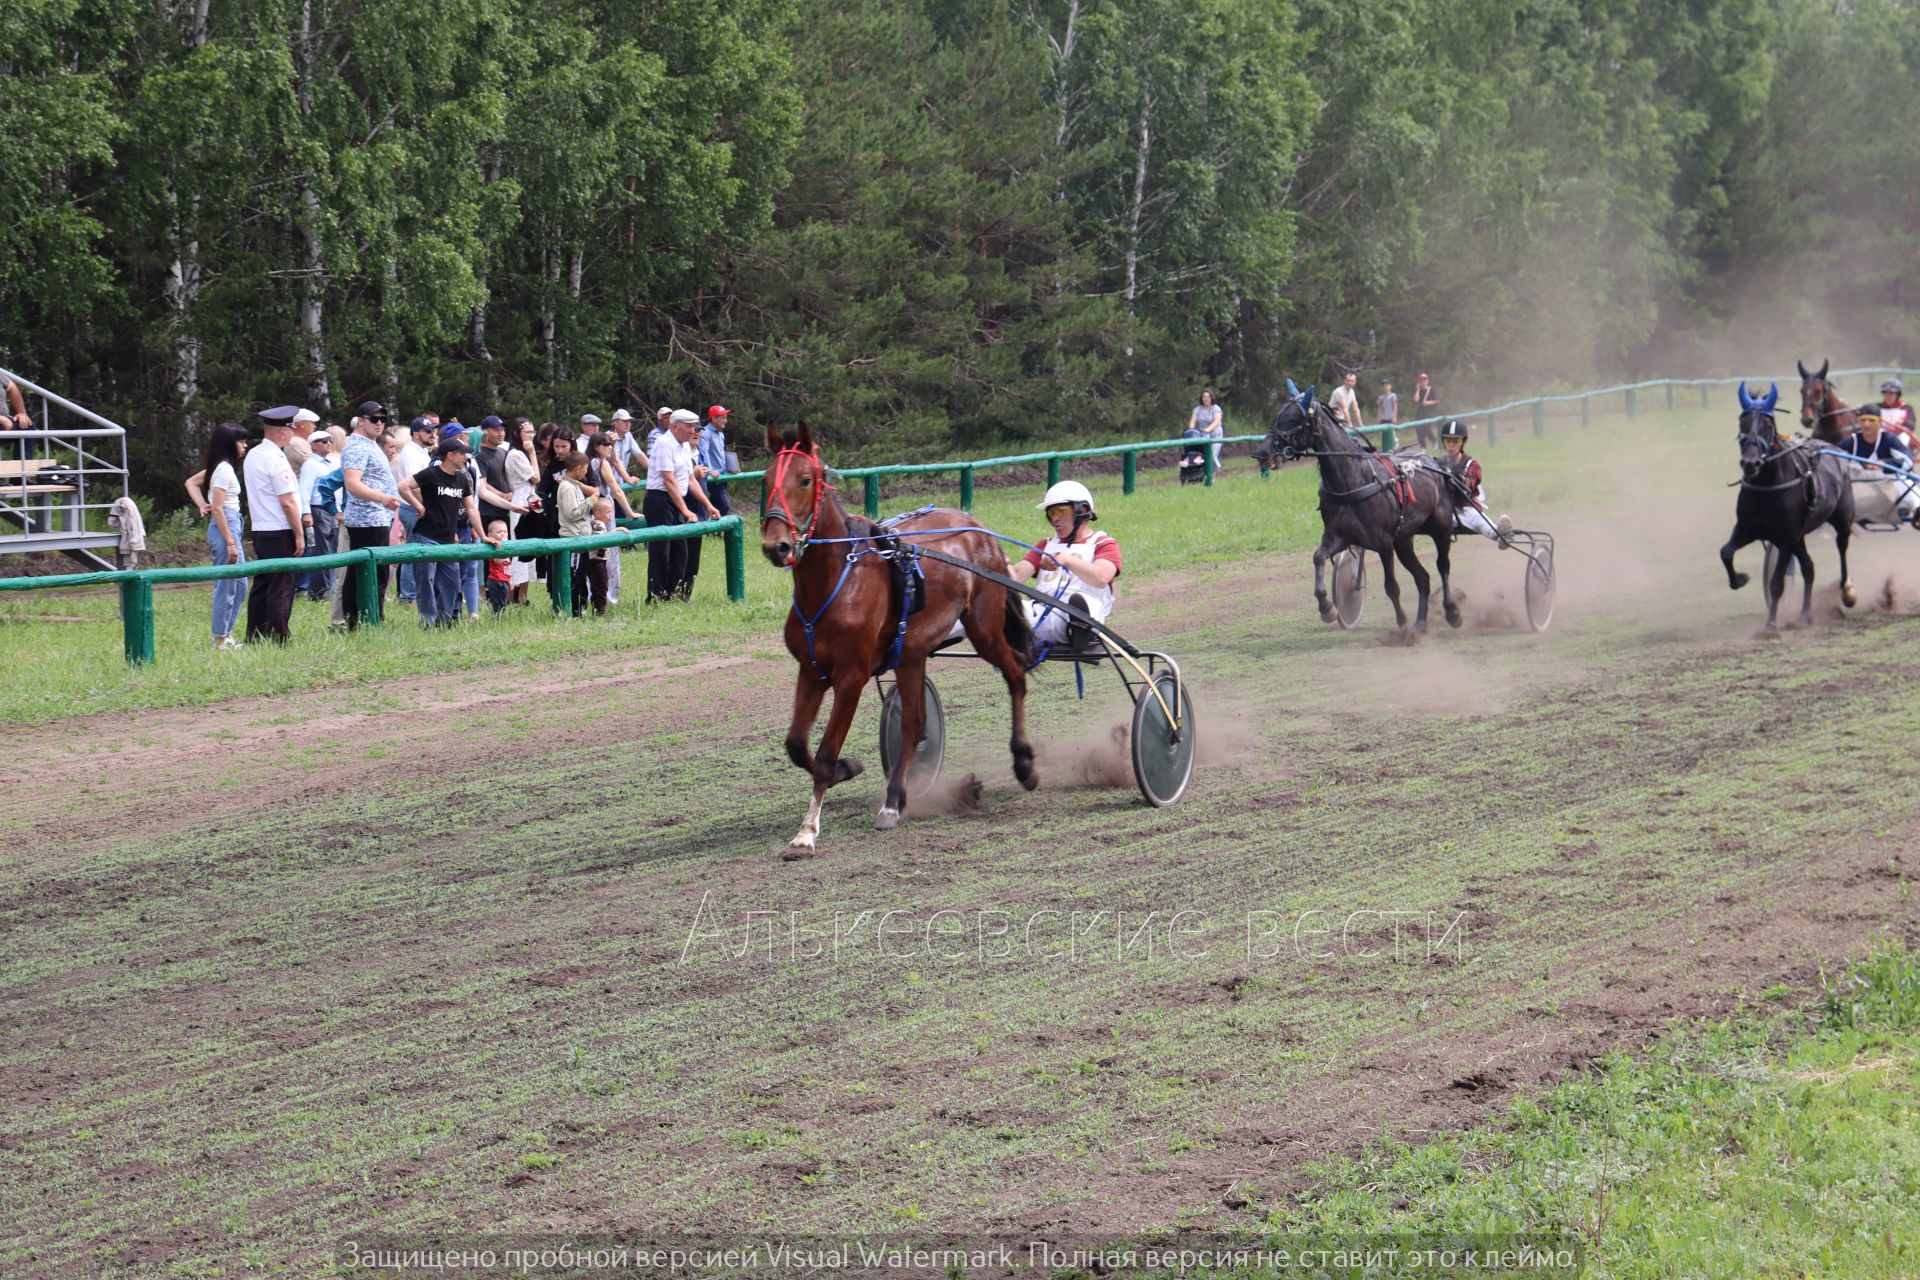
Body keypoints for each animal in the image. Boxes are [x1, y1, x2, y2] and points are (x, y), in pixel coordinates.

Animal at [760, 420, 1044, 855]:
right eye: (764, 480)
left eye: (805, 480)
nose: (777, 546)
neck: (834, 582)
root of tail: (977, 528)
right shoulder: (811, 671)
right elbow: (795, 744)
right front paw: (847, 768)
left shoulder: (851, 677)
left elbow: (823, 754)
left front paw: (807, 830)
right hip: (912, 653)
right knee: (913, 722)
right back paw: (894, 800)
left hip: (984, 628)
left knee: (1015, 674)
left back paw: (1024, 763)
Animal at [1267, 383, 1459, 633]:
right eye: (1276, 416)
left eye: (1293, 418)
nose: (1262, 451)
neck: (1354, 479)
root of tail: (1434, 463)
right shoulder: (1338, 536)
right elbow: (1318, 558)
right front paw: (1328, 608)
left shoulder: (1384, 542)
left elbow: (1391, 586)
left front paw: (1402, 623)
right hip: (1404, 540)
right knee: (1423, 577)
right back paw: (1420, 622)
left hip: (1440, 528)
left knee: (1442, 566)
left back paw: (1452, 611)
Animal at [1720, 379, 1850, 629]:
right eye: (1742, 423)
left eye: (1767, 426)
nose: (1750, 463)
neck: (1768, 486)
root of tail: (1833, 448)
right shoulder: (1748, 528)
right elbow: (1726, 552)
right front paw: (1739, 579)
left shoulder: (1786, 535)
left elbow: (1777, 581)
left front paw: (1771, 625)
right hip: (1799, 537)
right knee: (1809, 568)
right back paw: (1805, 615)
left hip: (1840, 517)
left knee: (1842, 545)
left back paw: (1847, 591)